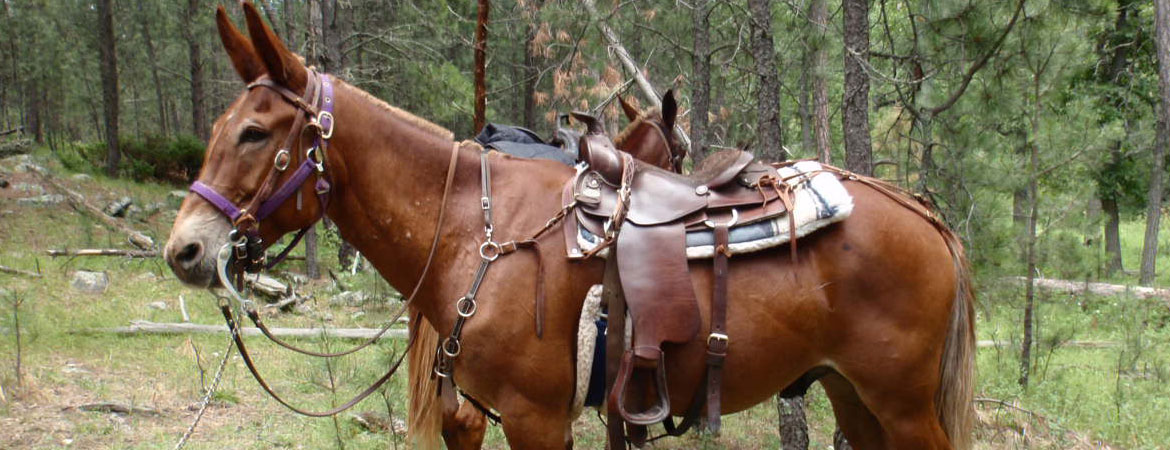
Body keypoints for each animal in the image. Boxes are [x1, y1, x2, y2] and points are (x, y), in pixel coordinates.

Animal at [164, 4, 975, 449]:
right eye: (224, 128)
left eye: (254, 134)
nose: (186, 250)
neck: (472, 234)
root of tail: (925, 214)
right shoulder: (488, 416)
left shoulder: (534, 418)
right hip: (854, 397)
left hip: (901, 405)